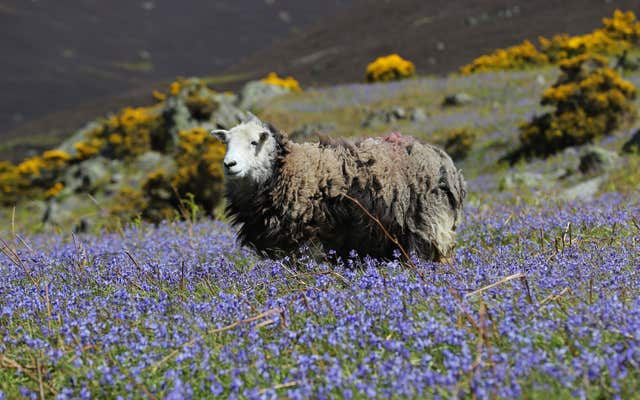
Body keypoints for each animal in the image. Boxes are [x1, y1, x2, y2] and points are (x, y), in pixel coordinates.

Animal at [212, 114, 468, 260]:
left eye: (254, 142)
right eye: (226, 143)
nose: (229, 164)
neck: (288, 167)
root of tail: (446, 163)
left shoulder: (308, 239)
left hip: (430, 224)